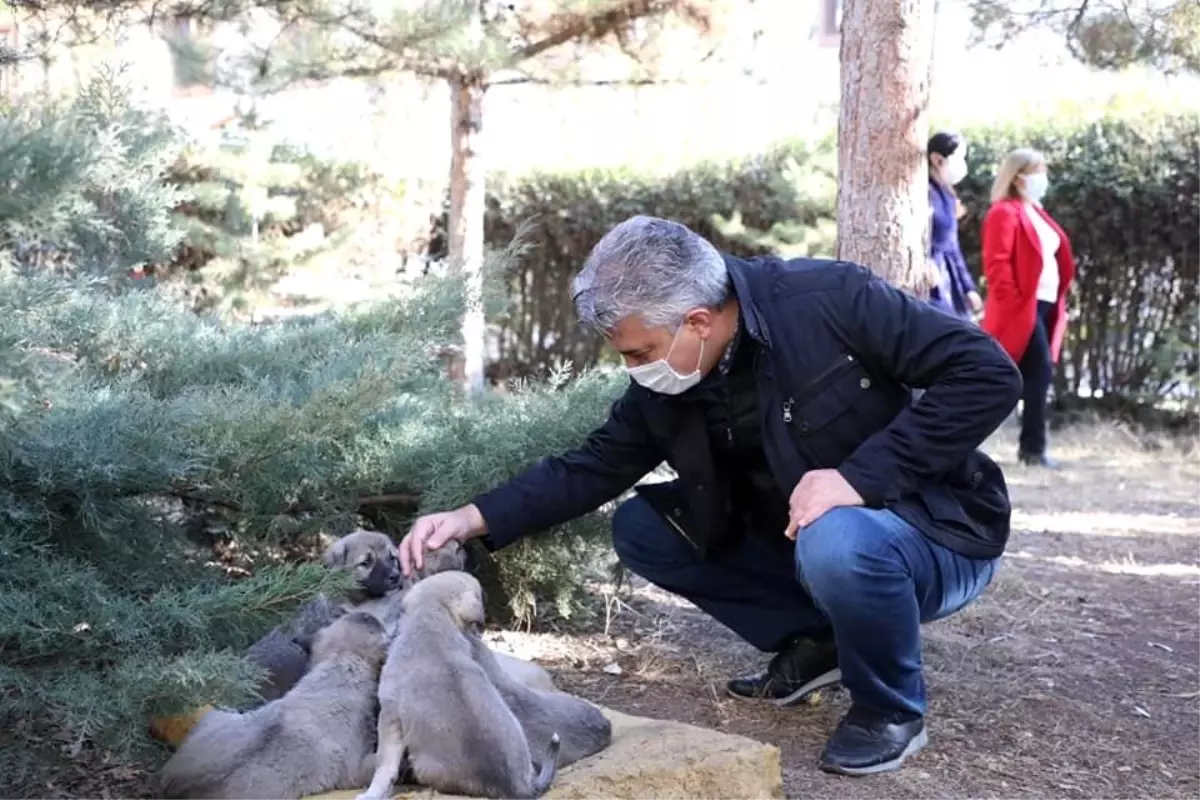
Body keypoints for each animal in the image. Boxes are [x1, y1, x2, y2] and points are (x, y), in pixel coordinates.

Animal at [355, 573, 561, 800]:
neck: (430, 624)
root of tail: (521, 787)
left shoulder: (389, 716)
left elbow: (384, 766)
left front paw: (371, 793)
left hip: (423, 765)